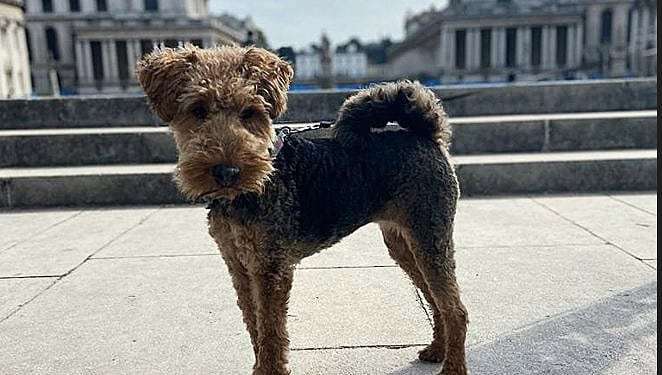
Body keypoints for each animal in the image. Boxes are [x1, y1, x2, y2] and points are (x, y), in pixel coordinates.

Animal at [136, 44, 466, 375]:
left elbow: (270, 331)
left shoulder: (269, 267)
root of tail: (427, 134)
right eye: (198, 109)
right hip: (404, 243)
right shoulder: (239, 266)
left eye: (249, 112)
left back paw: (452, 366)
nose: (227, 172)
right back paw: (436, 350)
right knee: (437, 301)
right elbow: (254, 325)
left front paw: (269, 369)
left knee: (456, 310)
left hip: (429, 238)